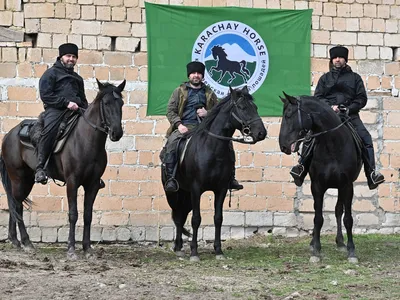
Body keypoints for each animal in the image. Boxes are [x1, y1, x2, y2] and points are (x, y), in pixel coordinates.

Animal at [0, 79, 125, 260]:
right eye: (106, 103)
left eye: (121, 103)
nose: (117, 133)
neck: (86, 140)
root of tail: (8, 136)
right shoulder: (72, 182)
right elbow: (73, 214)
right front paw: (71, 249)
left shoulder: (93, 184)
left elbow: (88, 215)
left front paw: (87, 249)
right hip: (18, 177)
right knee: (16, 204)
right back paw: (27, 242)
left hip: (26, 180)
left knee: (15, 203)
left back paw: (16, 241)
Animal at [161, 86, 268, 260]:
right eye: (243, 107)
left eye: (256, 108)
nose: (261, 133)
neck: (212, 148)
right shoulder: (196, 189)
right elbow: (196, 219)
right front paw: (194, 252)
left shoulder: (221, 189)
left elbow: (218, 218)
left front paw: (218, 251)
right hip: (174, 194)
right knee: (177, 217)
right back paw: (178, 248)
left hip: (186, 195)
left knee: (181, 216)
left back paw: (179, 247)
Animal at [278, 93, 362, 262]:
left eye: (288, 115)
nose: (282, 145)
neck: (333, 145)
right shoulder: (317, 186)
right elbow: (318, 218)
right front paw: (316, 250)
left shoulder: (347, 185)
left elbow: (347, 219)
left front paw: (351, 251)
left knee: (338, 211)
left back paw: (340, 243)